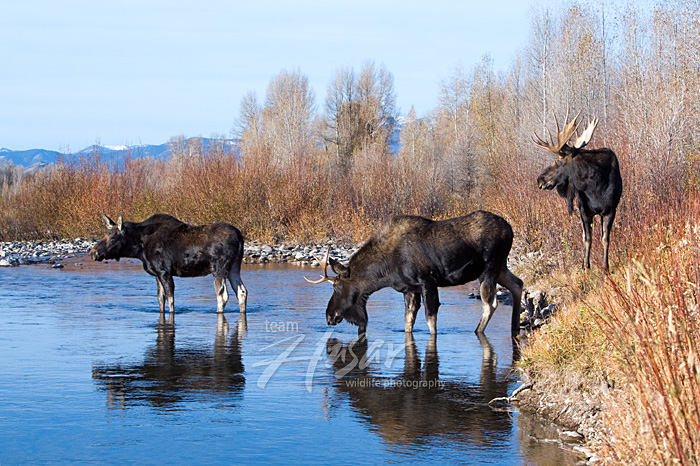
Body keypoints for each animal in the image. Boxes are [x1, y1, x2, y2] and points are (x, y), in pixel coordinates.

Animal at [90, 214, 247, 317]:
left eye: (112, 237)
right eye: (104, 234)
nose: (93, 252)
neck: (139, 249)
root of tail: (240, 237)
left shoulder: (164, 271)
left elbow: (170, 299)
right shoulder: (157, 273)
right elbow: (161, 299)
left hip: (219, 268)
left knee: (222, 294)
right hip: (234, 267)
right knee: (242, 292)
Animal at [305, 211, 523, 336]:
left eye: (336, 286)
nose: (329, 316)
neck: (384, 272)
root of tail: (511, 229)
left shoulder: (428, 281)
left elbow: (431, 321)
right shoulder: (409, 289)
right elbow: (408, 323)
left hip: (490, 267)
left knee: (491, 303)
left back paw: (478, 330)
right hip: (501, 267)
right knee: (518, 283)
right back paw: (514, 327)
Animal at [533, 110, 623, 272]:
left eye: (558, 161)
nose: (540, 180)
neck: (595, 188)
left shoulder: (610, 210)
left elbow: (605, 239)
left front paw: (605, 267)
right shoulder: (584, 210)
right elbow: (587, 239)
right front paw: (586, 266)